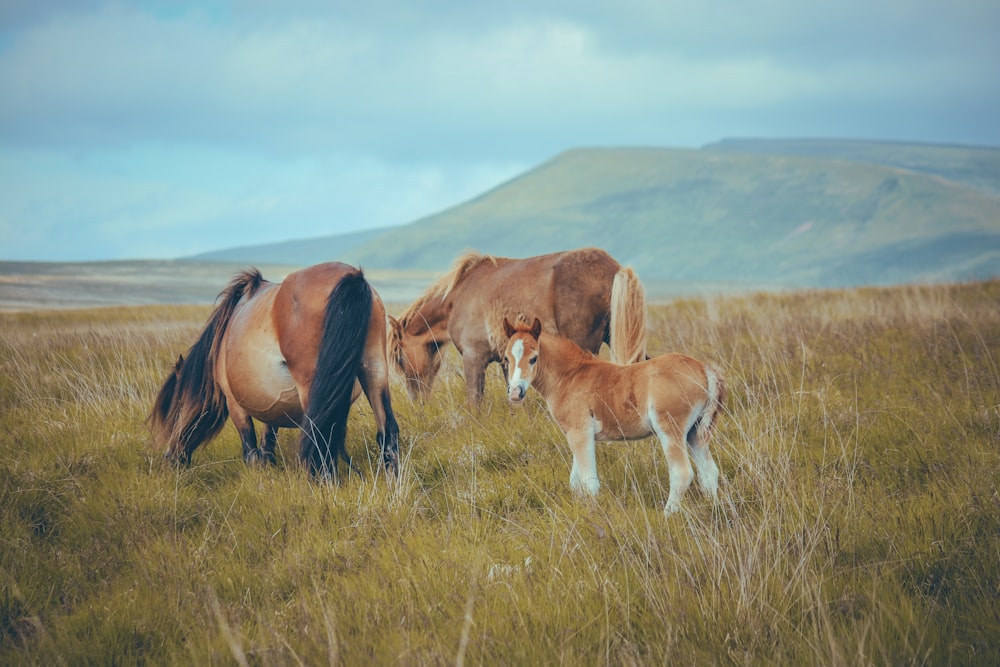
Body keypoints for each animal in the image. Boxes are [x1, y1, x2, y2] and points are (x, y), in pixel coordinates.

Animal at [148, 262, 398, 480]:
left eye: (176, 408)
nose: (169, 458)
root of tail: (351, 276)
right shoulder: (274, 404)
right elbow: (268, 441)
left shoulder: (234, 403)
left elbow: (250, 450)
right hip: (374, 371)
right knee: (387, 431)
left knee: (320, 438)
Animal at [386, 248, 644, 408]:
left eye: (399, 359)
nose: (417, 402)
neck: (456, 298)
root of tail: (614, 269)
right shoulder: (506, 359)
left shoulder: (473, 358)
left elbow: (474, 402)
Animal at [504, 318, 724, 516]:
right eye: (506, 359)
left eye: (534, 358)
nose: (515, 392)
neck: (570, 376)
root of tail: (704, 368)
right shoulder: (576, 435)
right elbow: (575, 482)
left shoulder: (579, 433)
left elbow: (589, 483)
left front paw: (593, 515)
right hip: (695, 434)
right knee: (710, 472)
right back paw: (713, 510)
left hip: (671, 431)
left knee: (682, 473)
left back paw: (668, 515)